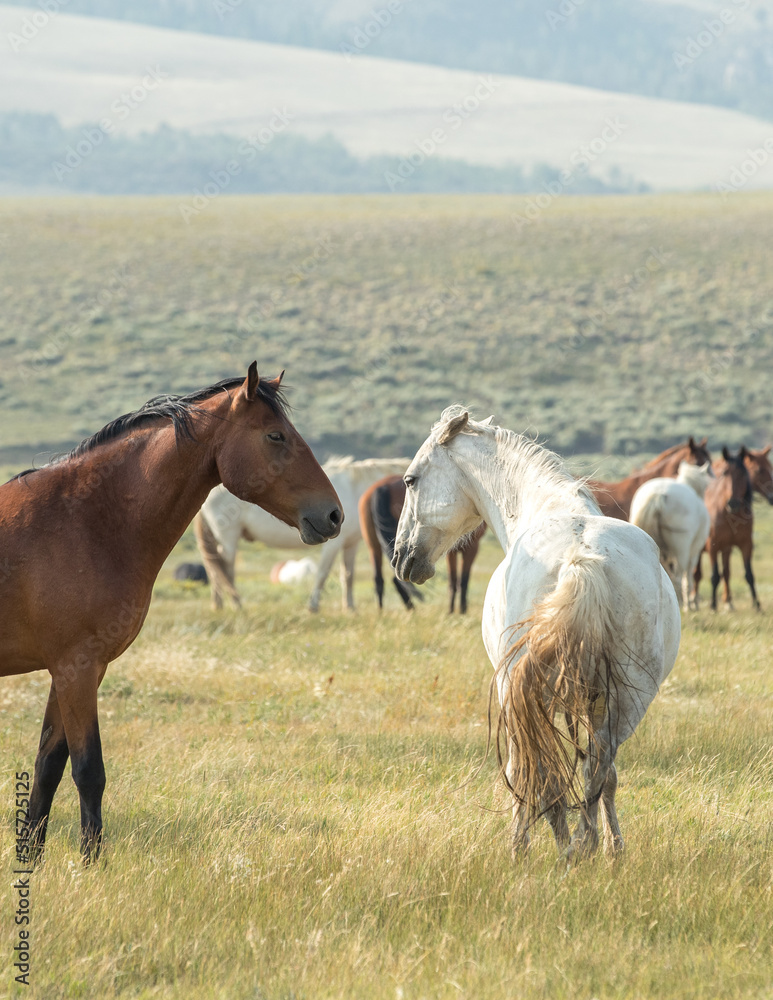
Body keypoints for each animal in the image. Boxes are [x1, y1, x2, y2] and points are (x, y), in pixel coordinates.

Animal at [0, 364, 342, 864]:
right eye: (276, 435)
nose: (334, 515)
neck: (83, 521)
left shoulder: (72, 671)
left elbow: (48, 767)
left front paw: (32, 862)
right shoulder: (76, 669)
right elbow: (88, 770)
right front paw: (91, 866)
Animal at [195, 457, 409, 612]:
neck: (354, 488)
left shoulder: (351, 544)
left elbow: (348, 575)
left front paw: (350, 608)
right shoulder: (333, 544)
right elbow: (322, 573)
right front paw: (313, 606)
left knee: (215, 567)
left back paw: (219, 605)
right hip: (228, 537)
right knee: (225, 568)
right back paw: (236, 604)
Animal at [393, 408, 680, 863]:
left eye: (410, 480)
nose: (402, 557)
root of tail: (580, 558)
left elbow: (530, 767)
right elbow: (600, 775)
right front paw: (611, 847)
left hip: (523, 689)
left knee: (532, 766)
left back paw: (537, 847)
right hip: (628, 698)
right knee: (599, 767)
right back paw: (589, 844)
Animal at [629, 461, 711, 611]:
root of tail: (658, 495)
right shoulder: (694, 553)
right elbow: (688, 578)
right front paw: (692, 604)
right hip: (682, 549)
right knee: (679, 578)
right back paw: (684, 605)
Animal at [694, 447, 758, 611]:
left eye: (743, 474)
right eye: (724, 473)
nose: (733, 503)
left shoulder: (746, 544)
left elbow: (749, 575)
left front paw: (757, 605)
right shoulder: (713, 546)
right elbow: (714, 576)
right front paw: (712, 605)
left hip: (726, 549)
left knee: (726, 573)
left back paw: (728, 603)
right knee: (696, 574)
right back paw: (692, 602)